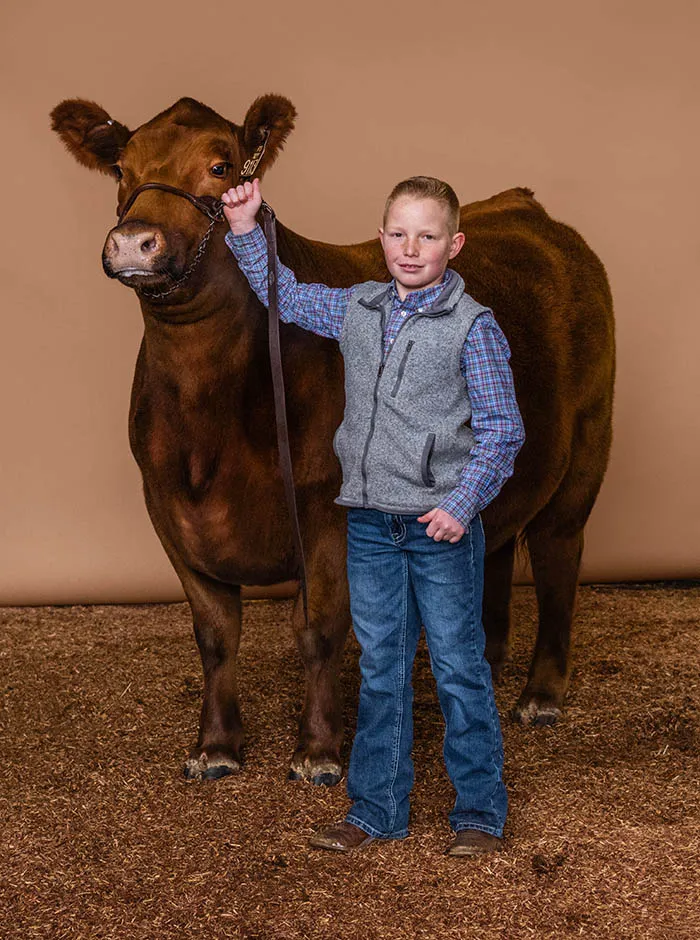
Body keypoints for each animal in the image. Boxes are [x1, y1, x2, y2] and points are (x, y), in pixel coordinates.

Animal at [52, 95, 612, 784]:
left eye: (221, 165)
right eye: (121, 170)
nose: (134, 241)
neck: (206, 434)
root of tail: (521, 203)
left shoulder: (329, 509)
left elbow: (318, 626)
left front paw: (317, 751)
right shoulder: (166, 506)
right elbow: (215, 635)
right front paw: (215, 746)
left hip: (587, 449)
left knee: (559, 556)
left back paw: (541, 695)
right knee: (497, 544)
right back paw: (487, 657)